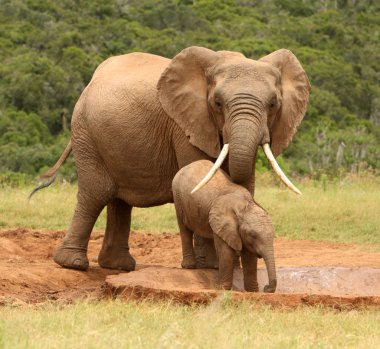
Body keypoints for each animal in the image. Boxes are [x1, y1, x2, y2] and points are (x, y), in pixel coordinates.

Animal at [32, 46, 310, 270]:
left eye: (273, 104)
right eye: (217, 103)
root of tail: (90, 81)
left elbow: (244, 184)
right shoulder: (185, 125)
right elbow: (199, 174)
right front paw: (210, 267)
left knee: (118, 200)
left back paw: (119, 266)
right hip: (86, 134)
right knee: (95, 194)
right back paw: (74, 264)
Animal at [172, 160, 276, 290]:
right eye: (253, 235)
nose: (266, 287)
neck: (245, 205)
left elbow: (249, 257)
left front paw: (252, 291)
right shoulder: (225, 225)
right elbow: (226, 253)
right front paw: (223, 289)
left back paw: (213, 267)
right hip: (178, 198)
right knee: (184, 229)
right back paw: (189, 266)